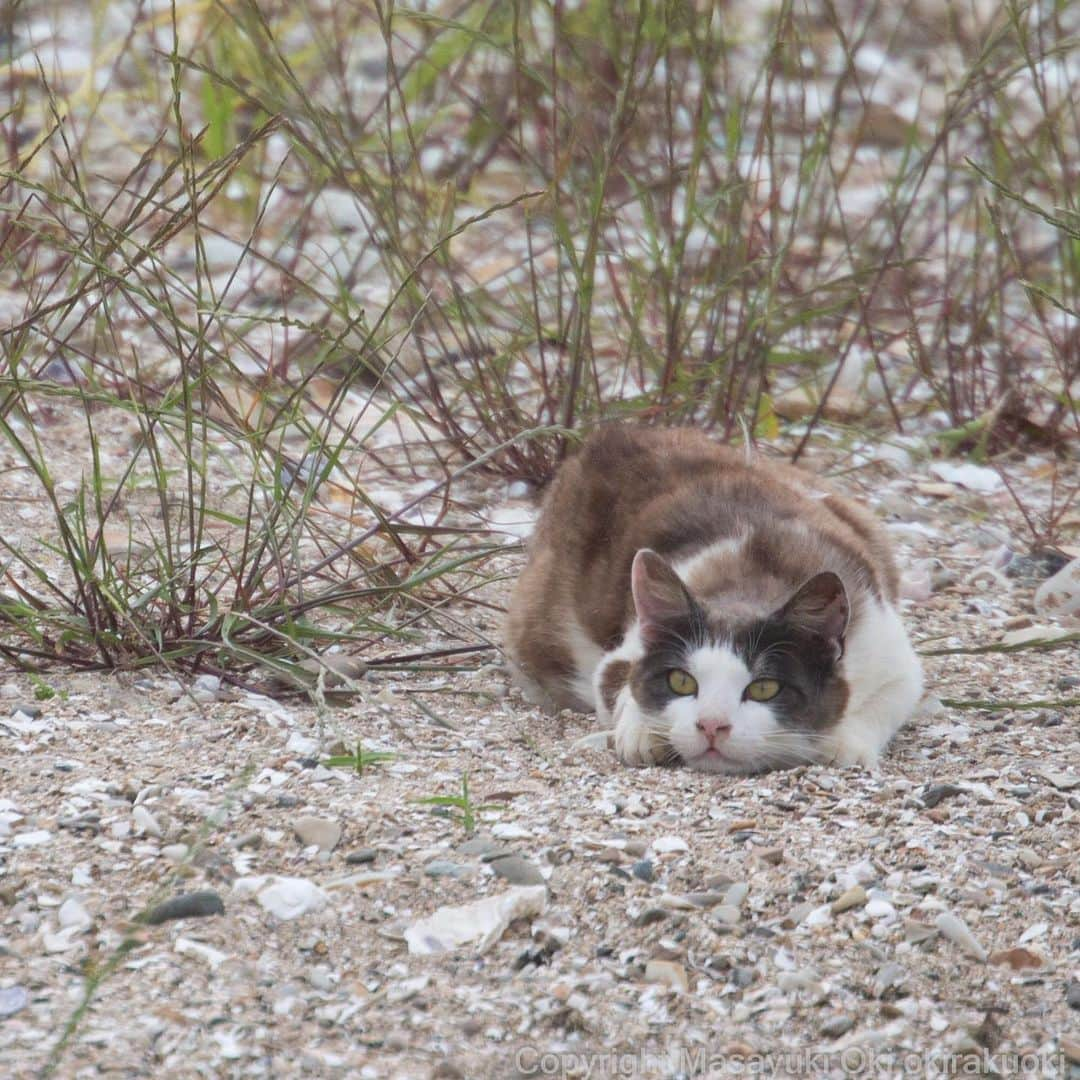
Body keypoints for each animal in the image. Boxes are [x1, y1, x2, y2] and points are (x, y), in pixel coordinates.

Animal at [503, 425, 920, 773]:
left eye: (764, 689)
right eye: (682, 682)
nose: (711, 725)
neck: (753, 578)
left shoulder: (887, 648)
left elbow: (887, 700)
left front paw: (844, 743)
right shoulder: (623, 654)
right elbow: (621, 684)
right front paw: (642, 730)